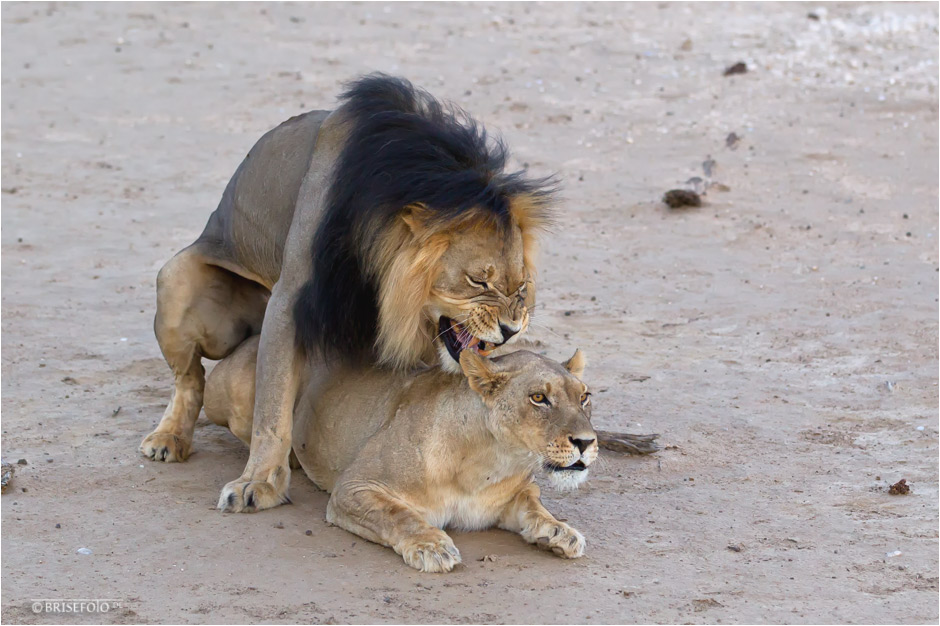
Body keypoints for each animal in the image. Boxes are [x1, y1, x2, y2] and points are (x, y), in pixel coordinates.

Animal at [139, 74, 552, 512]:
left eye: (521, 287)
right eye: (478, 281)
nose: (511, 330)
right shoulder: (289, 299)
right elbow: (272, 407)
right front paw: (259, 482)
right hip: (176, 278)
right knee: (191, 378)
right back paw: (169, 439)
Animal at [205, 336, 596, 572]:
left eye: (584, 396)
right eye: (538, 398)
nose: (587, 442)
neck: (490, 463)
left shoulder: (514, 494)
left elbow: (533, 504)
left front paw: (558, 531)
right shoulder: (354, 487)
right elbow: (398, 514)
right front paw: (432, 546)